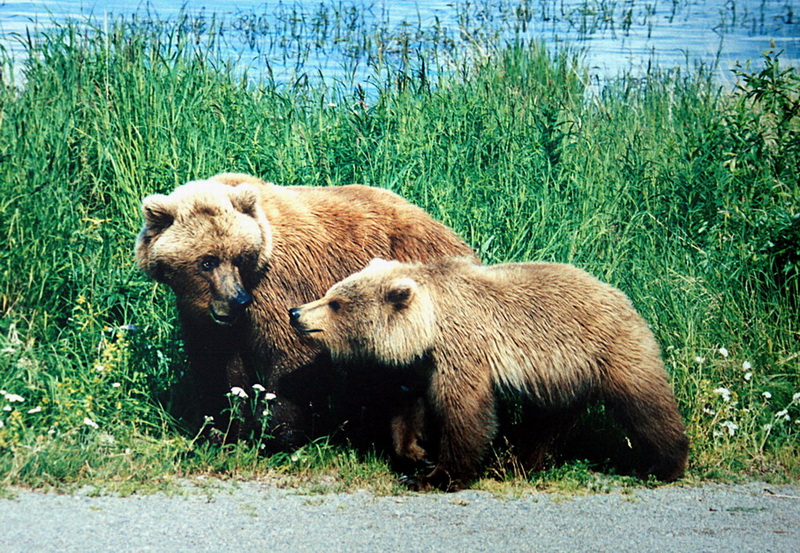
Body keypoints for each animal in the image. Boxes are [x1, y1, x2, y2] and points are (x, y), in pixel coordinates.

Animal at [134, 175, 478, 446]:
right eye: (207, 262)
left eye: (240, 258)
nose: (238, 300)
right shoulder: (202, 316)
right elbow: (217, 364)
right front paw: (224, 430)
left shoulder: (277, 286)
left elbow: (292, 351)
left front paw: (278, 434)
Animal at [290, 256, 692, 490]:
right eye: (330, 291)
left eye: (336, 302)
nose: (296, 313)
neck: (430, 327)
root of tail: (621, 294)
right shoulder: (422, 362)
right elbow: (407, 405)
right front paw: (415, 454)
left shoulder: (464, 348)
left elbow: (464, 412)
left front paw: (437, 476)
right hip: (560, 374)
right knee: (548, 421)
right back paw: (518, 463)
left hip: (607, 348)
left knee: (644, 402)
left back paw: (663, 465)